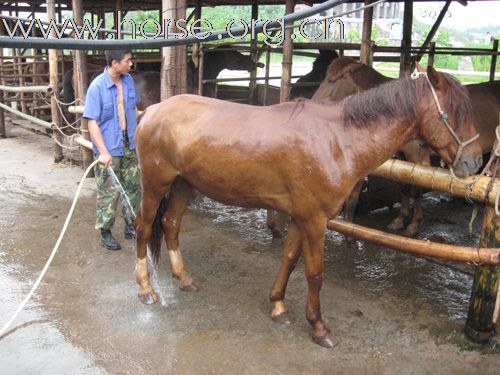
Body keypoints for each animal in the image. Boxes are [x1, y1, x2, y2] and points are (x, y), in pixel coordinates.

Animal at [132, 67, 480, 350]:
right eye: (452, 113)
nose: (474, 162)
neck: (337, 140)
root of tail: (150, 110)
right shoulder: (315, 220)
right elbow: (315, 273)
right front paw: (319, 327)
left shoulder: (300, 216)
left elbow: (288, 259)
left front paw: (278, 305)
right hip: (155, 185)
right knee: (144, 229)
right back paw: (146, 290)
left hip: (182, 184)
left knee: (171, 225)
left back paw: (184, 278)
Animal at [314, 57, 500, 236]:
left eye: (331, 80)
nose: (314, 101)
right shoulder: (403, 157)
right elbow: (404, 187)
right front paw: (400, 219)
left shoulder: (418, 158)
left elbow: (416, 189)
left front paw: (414, 224)